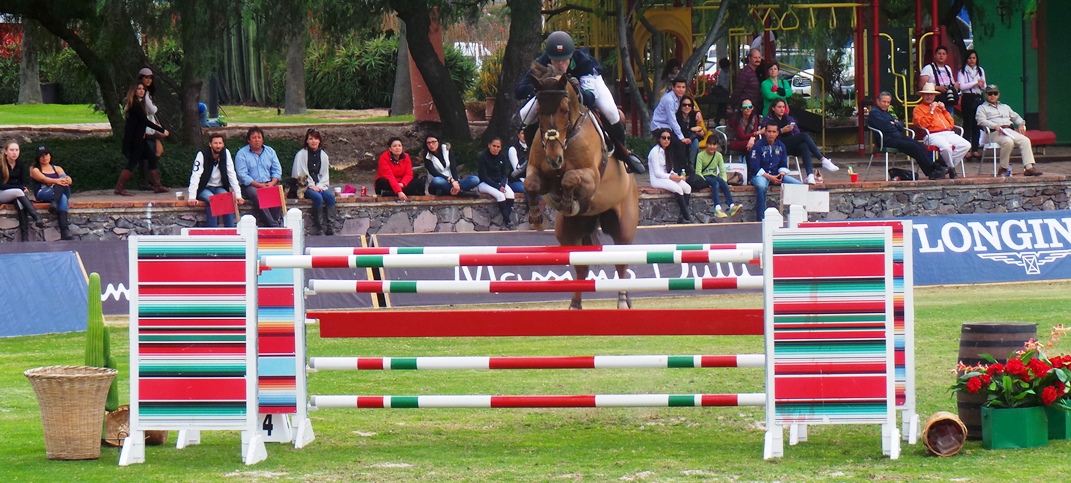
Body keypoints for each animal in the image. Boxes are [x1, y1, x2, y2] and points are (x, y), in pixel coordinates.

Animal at [522, 63, 638, 310]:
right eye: (539, 110)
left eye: (564, 110)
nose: (554, 159)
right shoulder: (537, 172)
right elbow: (531, 183)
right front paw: (536, 218)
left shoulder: (591, 177)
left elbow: (569, 178)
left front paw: (568, 202)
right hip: (568, 232)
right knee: (581, 266)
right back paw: (575, 304)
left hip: (623, 226)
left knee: (621, 263)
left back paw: (623, 301)